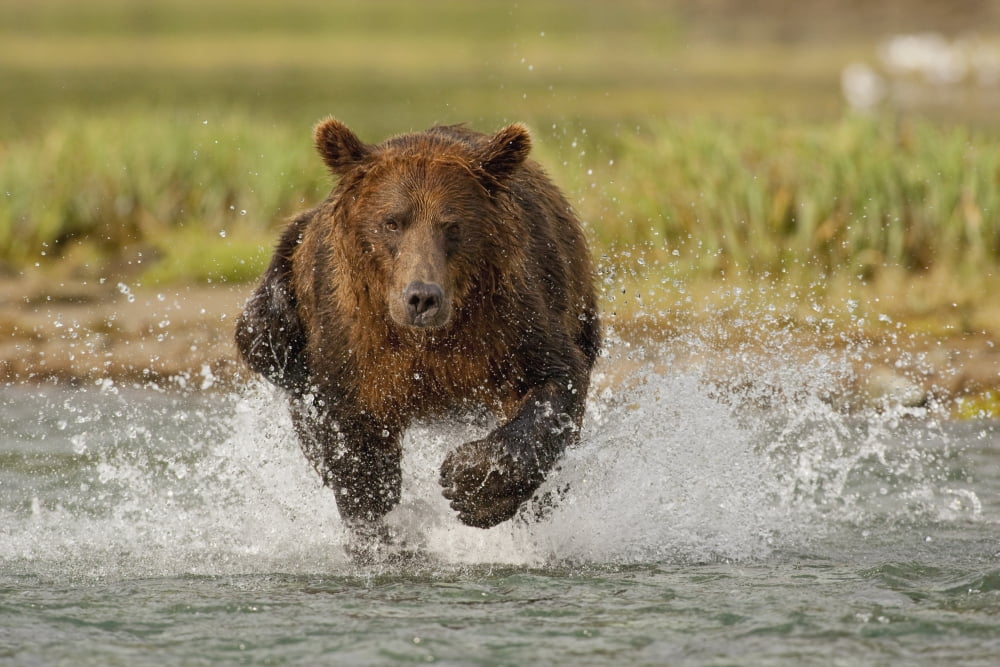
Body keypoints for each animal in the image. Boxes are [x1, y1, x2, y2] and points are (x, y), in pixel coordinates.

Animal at [235, 118, 600, 550]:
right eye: (392, 222)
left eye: (453, 225)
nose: (422, 297)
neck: (424, 341)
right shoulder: (349, 341)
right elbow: (347, 436)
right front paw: (377, 516)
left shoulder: (510, 319)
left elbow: (553, 381)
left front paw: (472, 485)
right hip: (282, 305)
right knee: (262, 339)